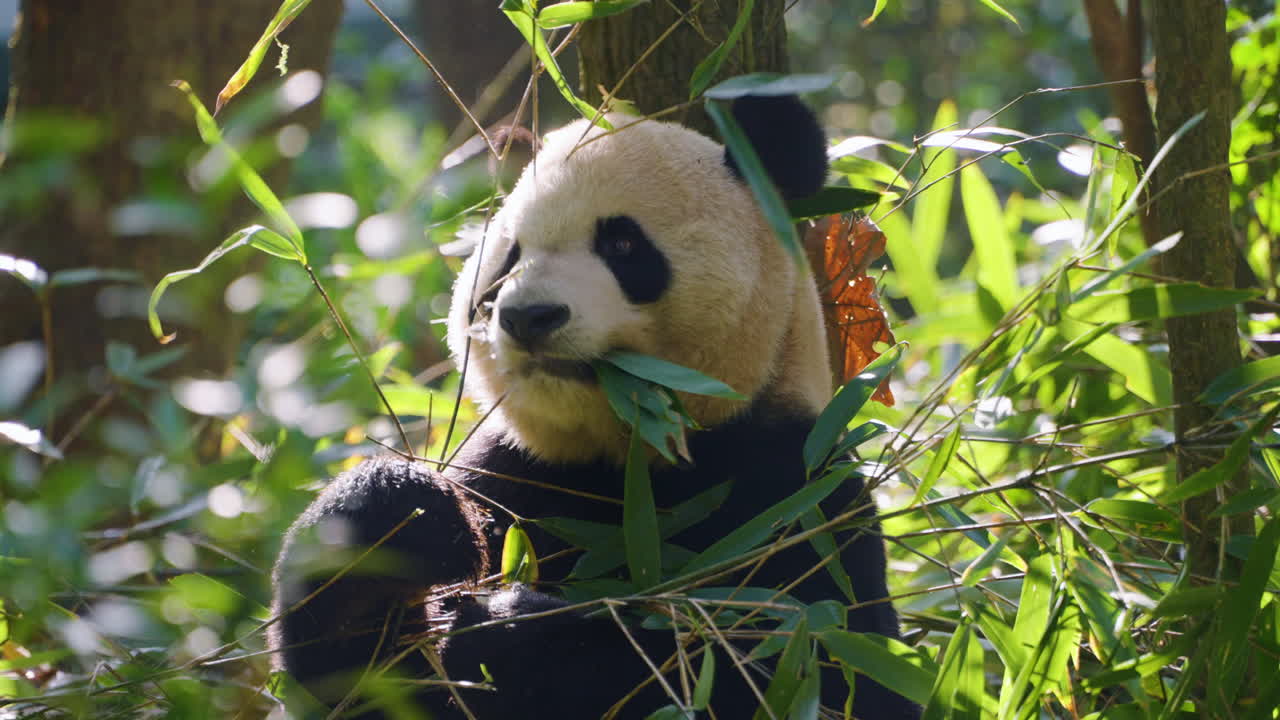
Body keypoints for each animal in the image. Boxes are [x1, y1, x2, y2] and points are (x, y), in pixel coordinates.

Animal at [270, 94, 919, 719]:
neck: (624, 457)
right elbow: (354, 687)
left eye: (622, 243)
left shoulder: (796, 492)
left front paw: (511, 634)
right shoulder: (514, 474)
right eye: (509, 258)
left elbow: (813, 670)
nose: (529, 316)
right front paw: (400, 524)